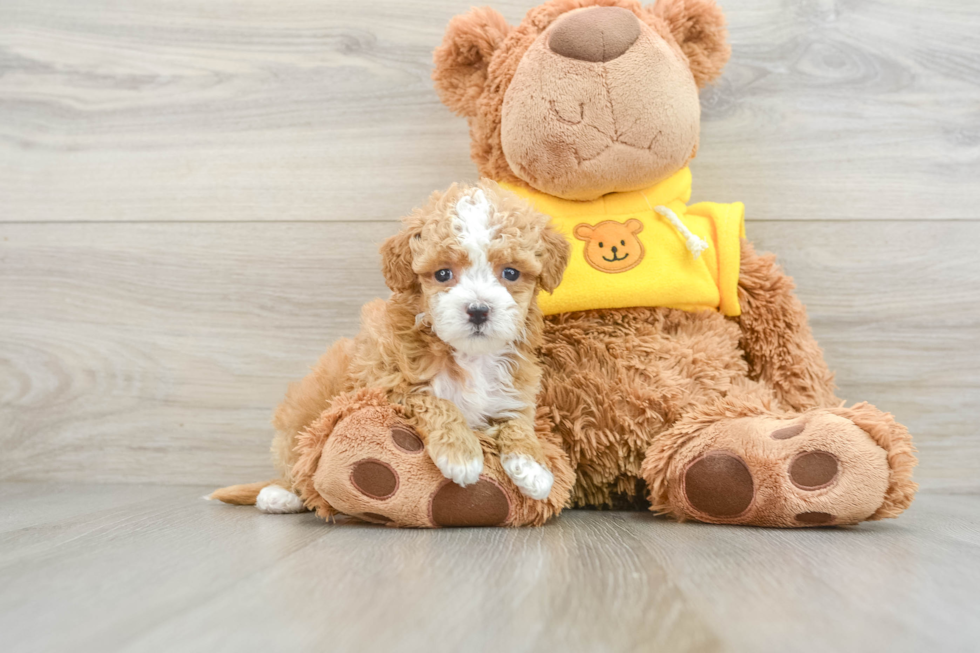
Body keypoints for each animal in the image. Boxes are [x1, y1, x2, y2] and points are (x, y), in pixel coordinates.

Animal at [268, 178, 572, 504]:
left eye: (511, 272)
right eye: (443, 273)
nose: (478, 310)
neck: (471, 357)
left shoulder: (513, 390)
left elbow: (519, 421)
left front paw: (533, 467)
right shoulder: (387, 386)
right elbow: (437, 402)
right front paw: (462, 454)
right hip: (303, 413)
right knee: (297, 460)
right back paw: (280, 495)